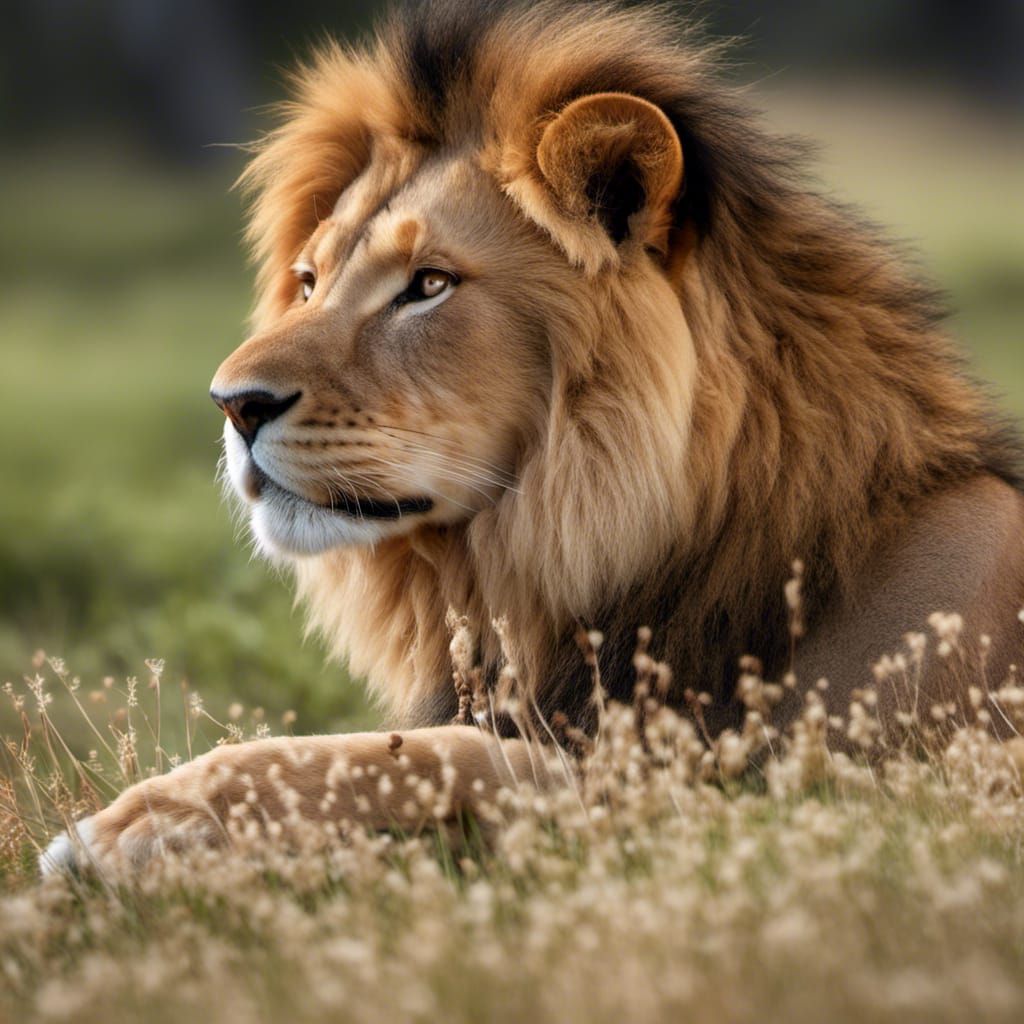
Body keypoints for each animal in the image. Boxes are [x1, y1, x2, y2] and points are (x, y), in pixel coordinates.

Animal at [43, 0, 1024, 874]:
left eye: (428, 285)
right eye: (310, 280)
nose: (232, 404)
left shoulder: (800, 797)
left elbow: (444, 752)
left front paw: (136, 826)